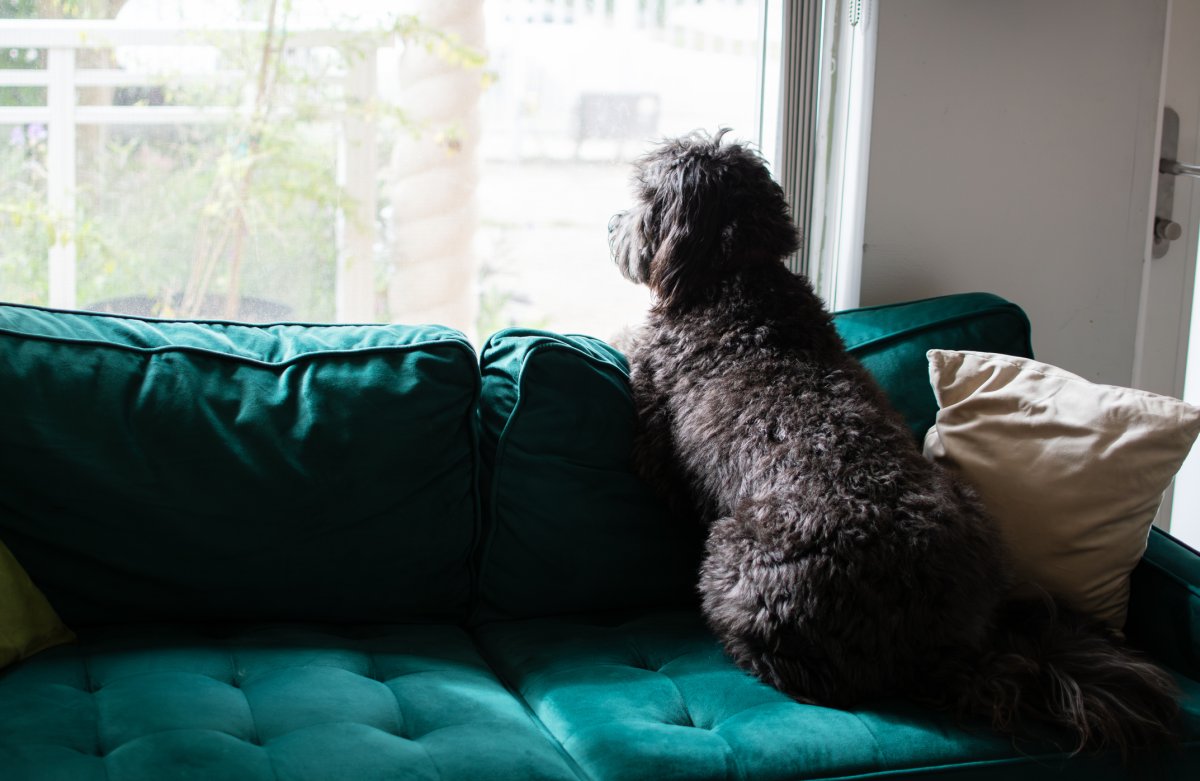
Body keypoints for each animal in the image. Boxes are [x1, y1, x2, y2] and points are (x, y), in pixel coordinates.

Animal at [609, 129, 1180, 758]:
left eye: (644, 199)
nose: (612, 225)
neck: (743, 281)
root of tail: (944, 641)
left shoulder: (653, 427)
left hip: (734, 560)